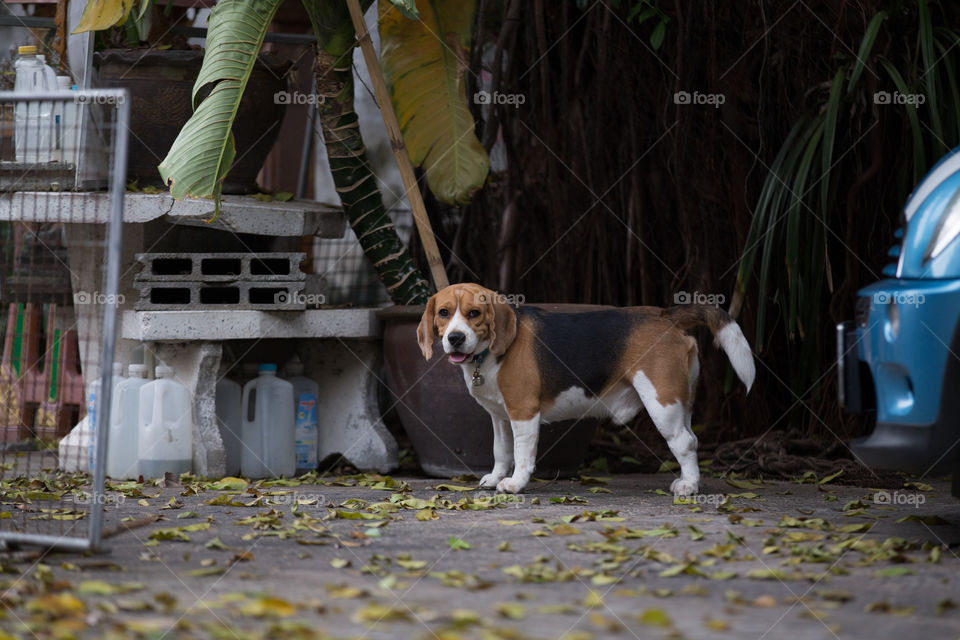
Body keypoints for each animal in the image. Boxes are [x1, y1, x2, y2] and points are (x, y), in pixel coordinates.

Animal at [416, 282, 752, 498]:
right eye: (444, 313)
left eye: (474, 314)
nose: (455, 338)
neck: (487, 354)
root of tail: (666, 315)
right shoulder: (500, 415)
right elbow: (501, 450)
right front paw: (496, 477)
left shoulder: (524, 412)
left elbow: (522, 453)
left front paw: (514, 484)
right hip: (680, 402)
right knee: (691, 438)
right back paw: (686, 479)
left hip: (662, 403)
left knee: (684, 442)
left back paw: (690, 486)